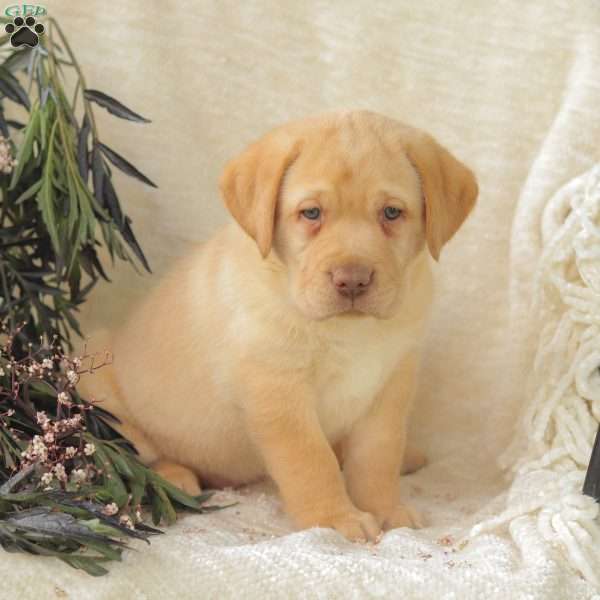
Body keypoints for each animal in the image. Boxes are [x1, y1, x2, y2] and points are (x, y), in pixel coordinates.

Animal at [81, 110, 478, 540]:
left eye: (391, 213)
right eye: (311, 213)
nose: (352, 280)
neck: (345, 330)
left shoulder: (390, 382)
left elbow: (378, 456)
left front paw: (386, 509)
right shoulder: (277, 390)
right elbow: (311, 461)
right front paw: (335, 518)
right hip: (102, 391)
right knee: (138, 455)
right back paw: (175, 478)